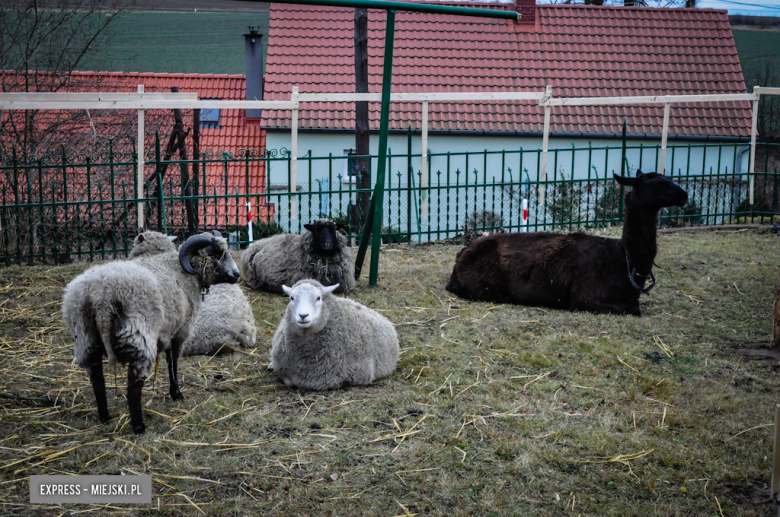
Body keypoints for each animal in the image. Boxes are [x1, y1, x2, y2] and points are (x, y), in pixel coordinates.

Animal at [62, 231, 241, 432]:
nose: (236, 274)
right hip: (138, 335)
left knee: (97, 378)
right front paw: (176, 393)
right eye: (215, 253)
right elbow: (173, 361)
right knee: (134, 382)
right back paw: (138, 425)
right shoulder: (180, 329)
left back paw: (105, 416)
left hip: (85, 337)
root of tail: (102, 296)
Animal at [444, 170, 688, 314]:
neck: (624, 261)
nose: (684, 195)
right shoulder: (584, 299)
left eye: (669, 179)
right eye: (658, 184)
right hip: (487, 284)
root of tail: (460, 257)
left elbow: (636, 306)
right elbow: (634, 309)